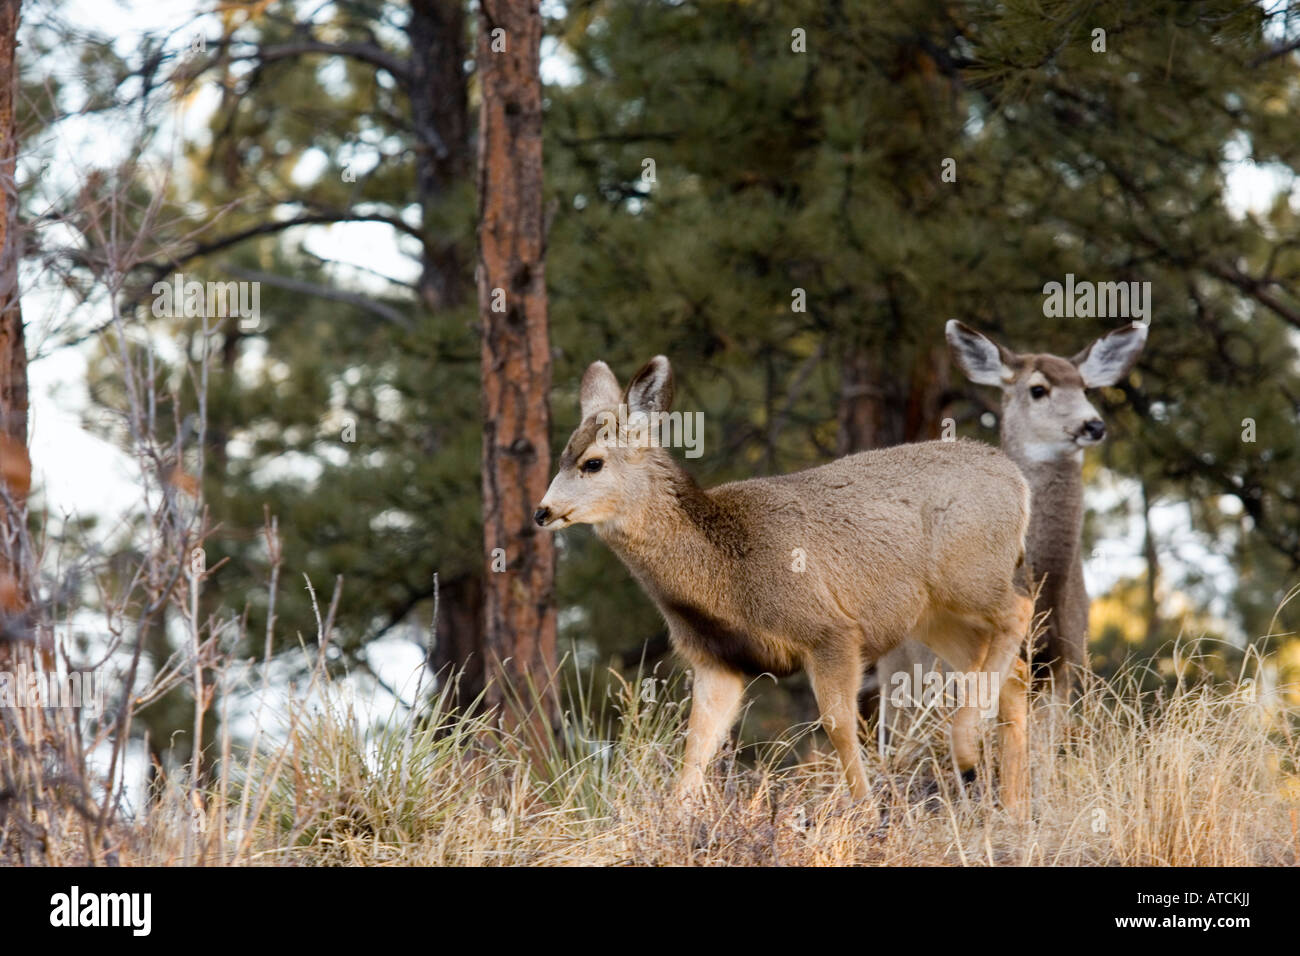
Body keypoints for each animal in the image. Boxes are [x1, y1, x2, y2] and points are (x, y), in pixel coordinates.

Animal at [535, 355, 1036, 819]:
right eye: (560, 458)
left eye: (592, 463)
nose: (542, 512)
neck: (723, 573)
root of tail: (1018, 480)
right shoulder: (718, 661)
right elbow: (697, 746)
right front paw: (673, 825)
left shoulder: (831, 630)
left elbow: (838, 726)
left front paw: (869, 815)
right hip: (934, 616)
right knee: (1013, 671)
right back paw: (1013, 808)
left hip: (971, 575)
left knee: (1020, 609)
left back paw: (969, 753)